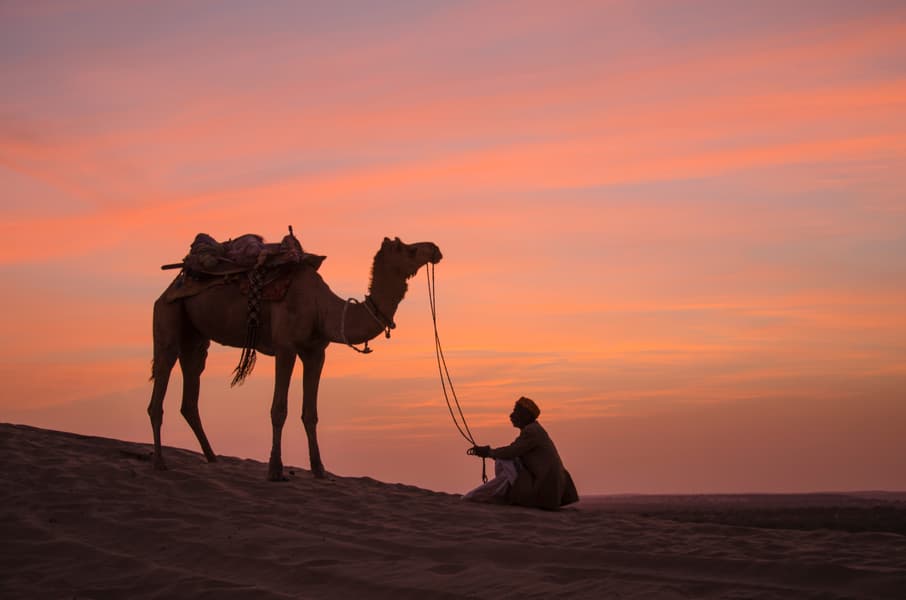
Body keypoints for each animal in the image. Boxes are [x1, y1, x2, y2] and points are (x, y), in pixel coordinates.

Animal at [148, 236, 442, 481]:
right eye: (408, 248)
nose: (435, 249)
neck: (322, 308)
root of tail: (172, 284)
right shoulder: (285, 347)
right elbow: (279, 409)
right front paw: (275, 470)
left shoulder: (315, 352)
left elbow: (310, 413)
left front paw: (319, 469)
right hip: (168, 315)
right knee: (162, 375)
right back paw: (160, 462)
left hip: (196, 337)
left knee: (191, 390)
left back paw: (212, 458)